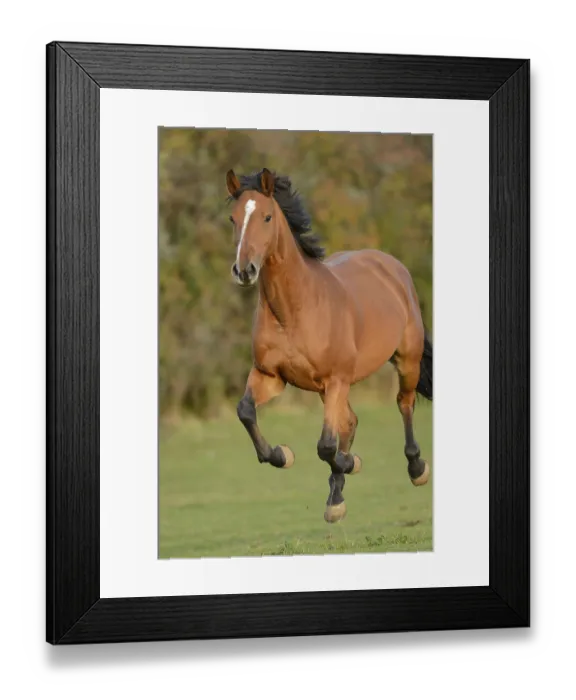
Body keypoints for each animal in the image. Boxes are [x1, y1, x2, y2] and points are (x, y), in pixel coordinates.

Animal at [226, 168, 433, 523]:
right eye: (233, 218)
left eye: (267, 217)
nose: (244, 270)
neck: (294, 310)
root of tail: (389, 264)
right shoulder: (270, 376)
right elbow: (246, 411)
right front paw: (282, 454)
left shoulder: (335, 379)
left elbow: (325, 446)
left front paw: (351, 462)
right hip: (333, 388)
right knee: (350, 422)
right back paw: (336, 499)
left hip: (406, 360)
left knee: (403, 403)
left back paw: (416, 468)